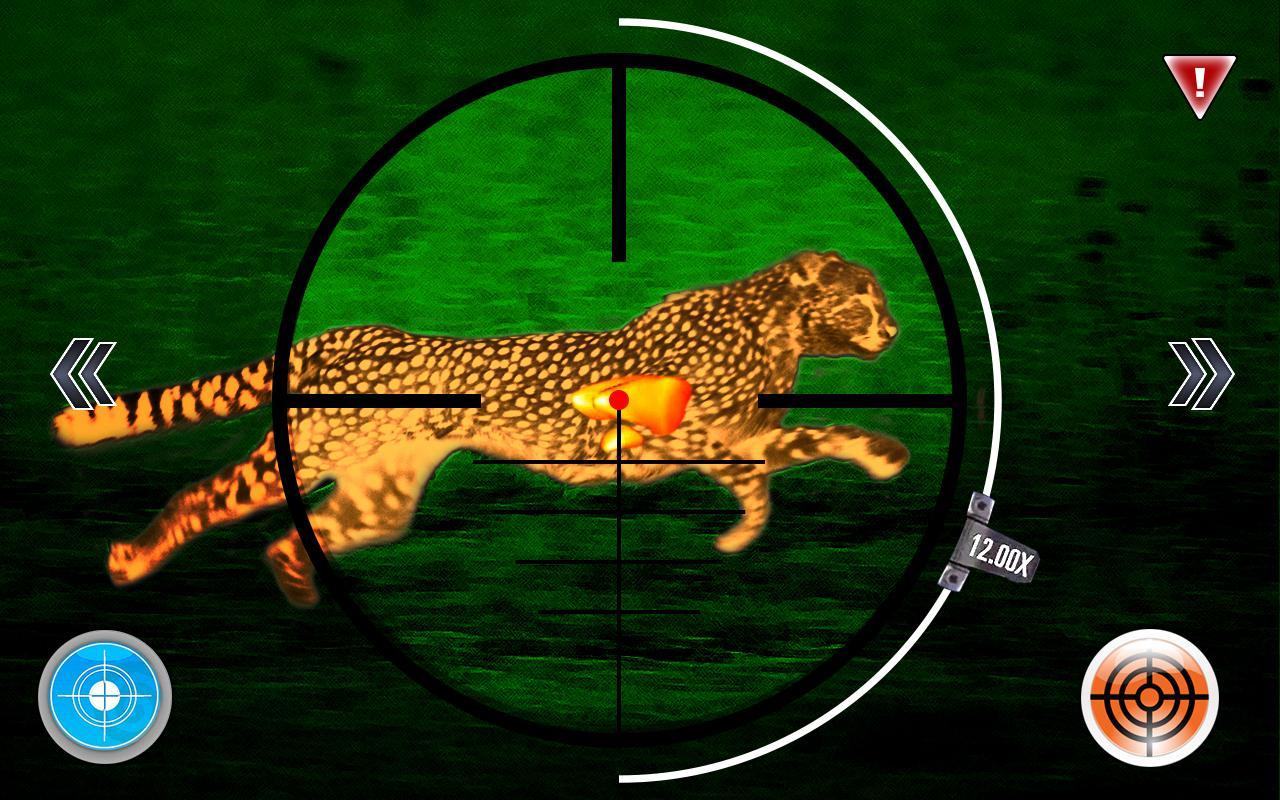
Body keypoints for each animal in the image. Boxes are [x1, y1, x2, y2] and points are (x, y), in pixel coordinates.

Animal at [53, 250, 908, 607]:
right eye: (864, 297)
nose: (895, 330)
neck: (775, 326)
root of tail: (339, 333)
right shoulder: (680, 439)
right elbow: (776, 457)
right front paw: (755, 523)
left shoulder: (727, 438)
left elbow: (803, 444)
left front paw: (878, 454)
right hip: (296, 459)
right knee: (203, 494)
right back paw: (131, 560)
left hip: (381, 495)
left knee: (299, 534)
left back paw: (299, 587)